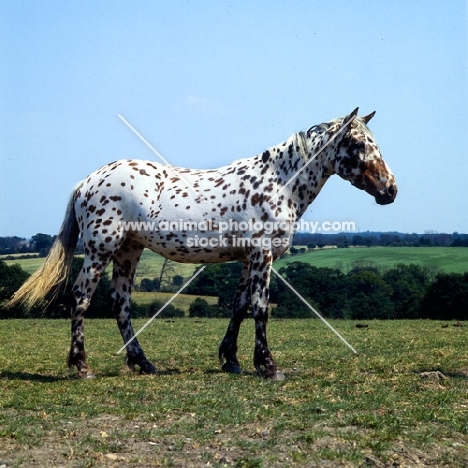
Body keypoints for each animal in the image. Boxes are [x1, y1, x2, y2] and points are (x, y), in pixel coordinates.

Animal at [7, 108, 396, 378]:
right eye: (357, 144)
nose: (390, 189)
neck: (278, 184)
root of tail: (87, 180)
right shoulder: (262, 255)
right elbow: (260, 308)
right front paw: (269, 367)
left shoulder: (247, 259)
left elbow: (239, 307)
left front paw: (232, 360)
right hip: (100, 249)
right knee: (81, 298)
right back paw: (82, 367)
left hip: (129, 251)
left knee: (120, 303)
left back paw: (143, 363)